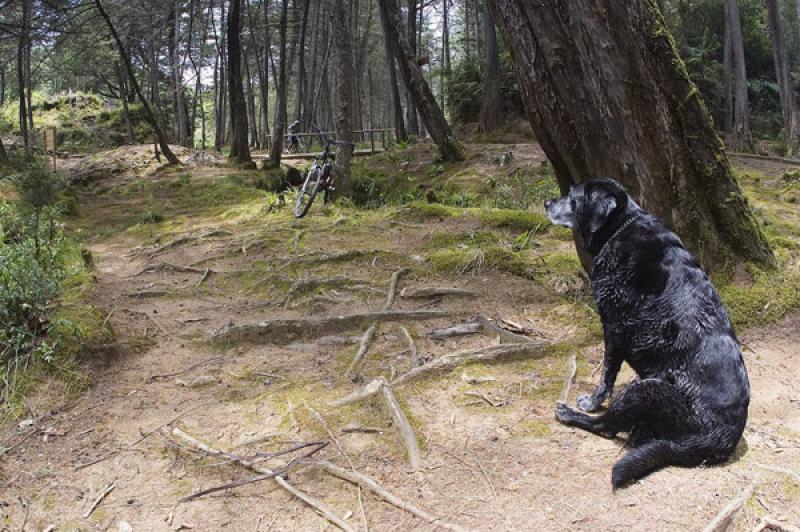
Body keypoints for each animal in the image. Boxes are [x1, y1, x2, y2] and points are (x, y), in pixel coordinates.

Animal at [544, 180, 752, 490]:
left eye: (572, 197)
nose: (546, 203)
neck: (621, 227)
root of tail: (718, 441)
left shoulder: (613, 328)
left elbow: (606, 376)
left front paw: (592, 402)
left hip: (647, 390)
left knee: (606, 426)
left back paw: (570, 414)